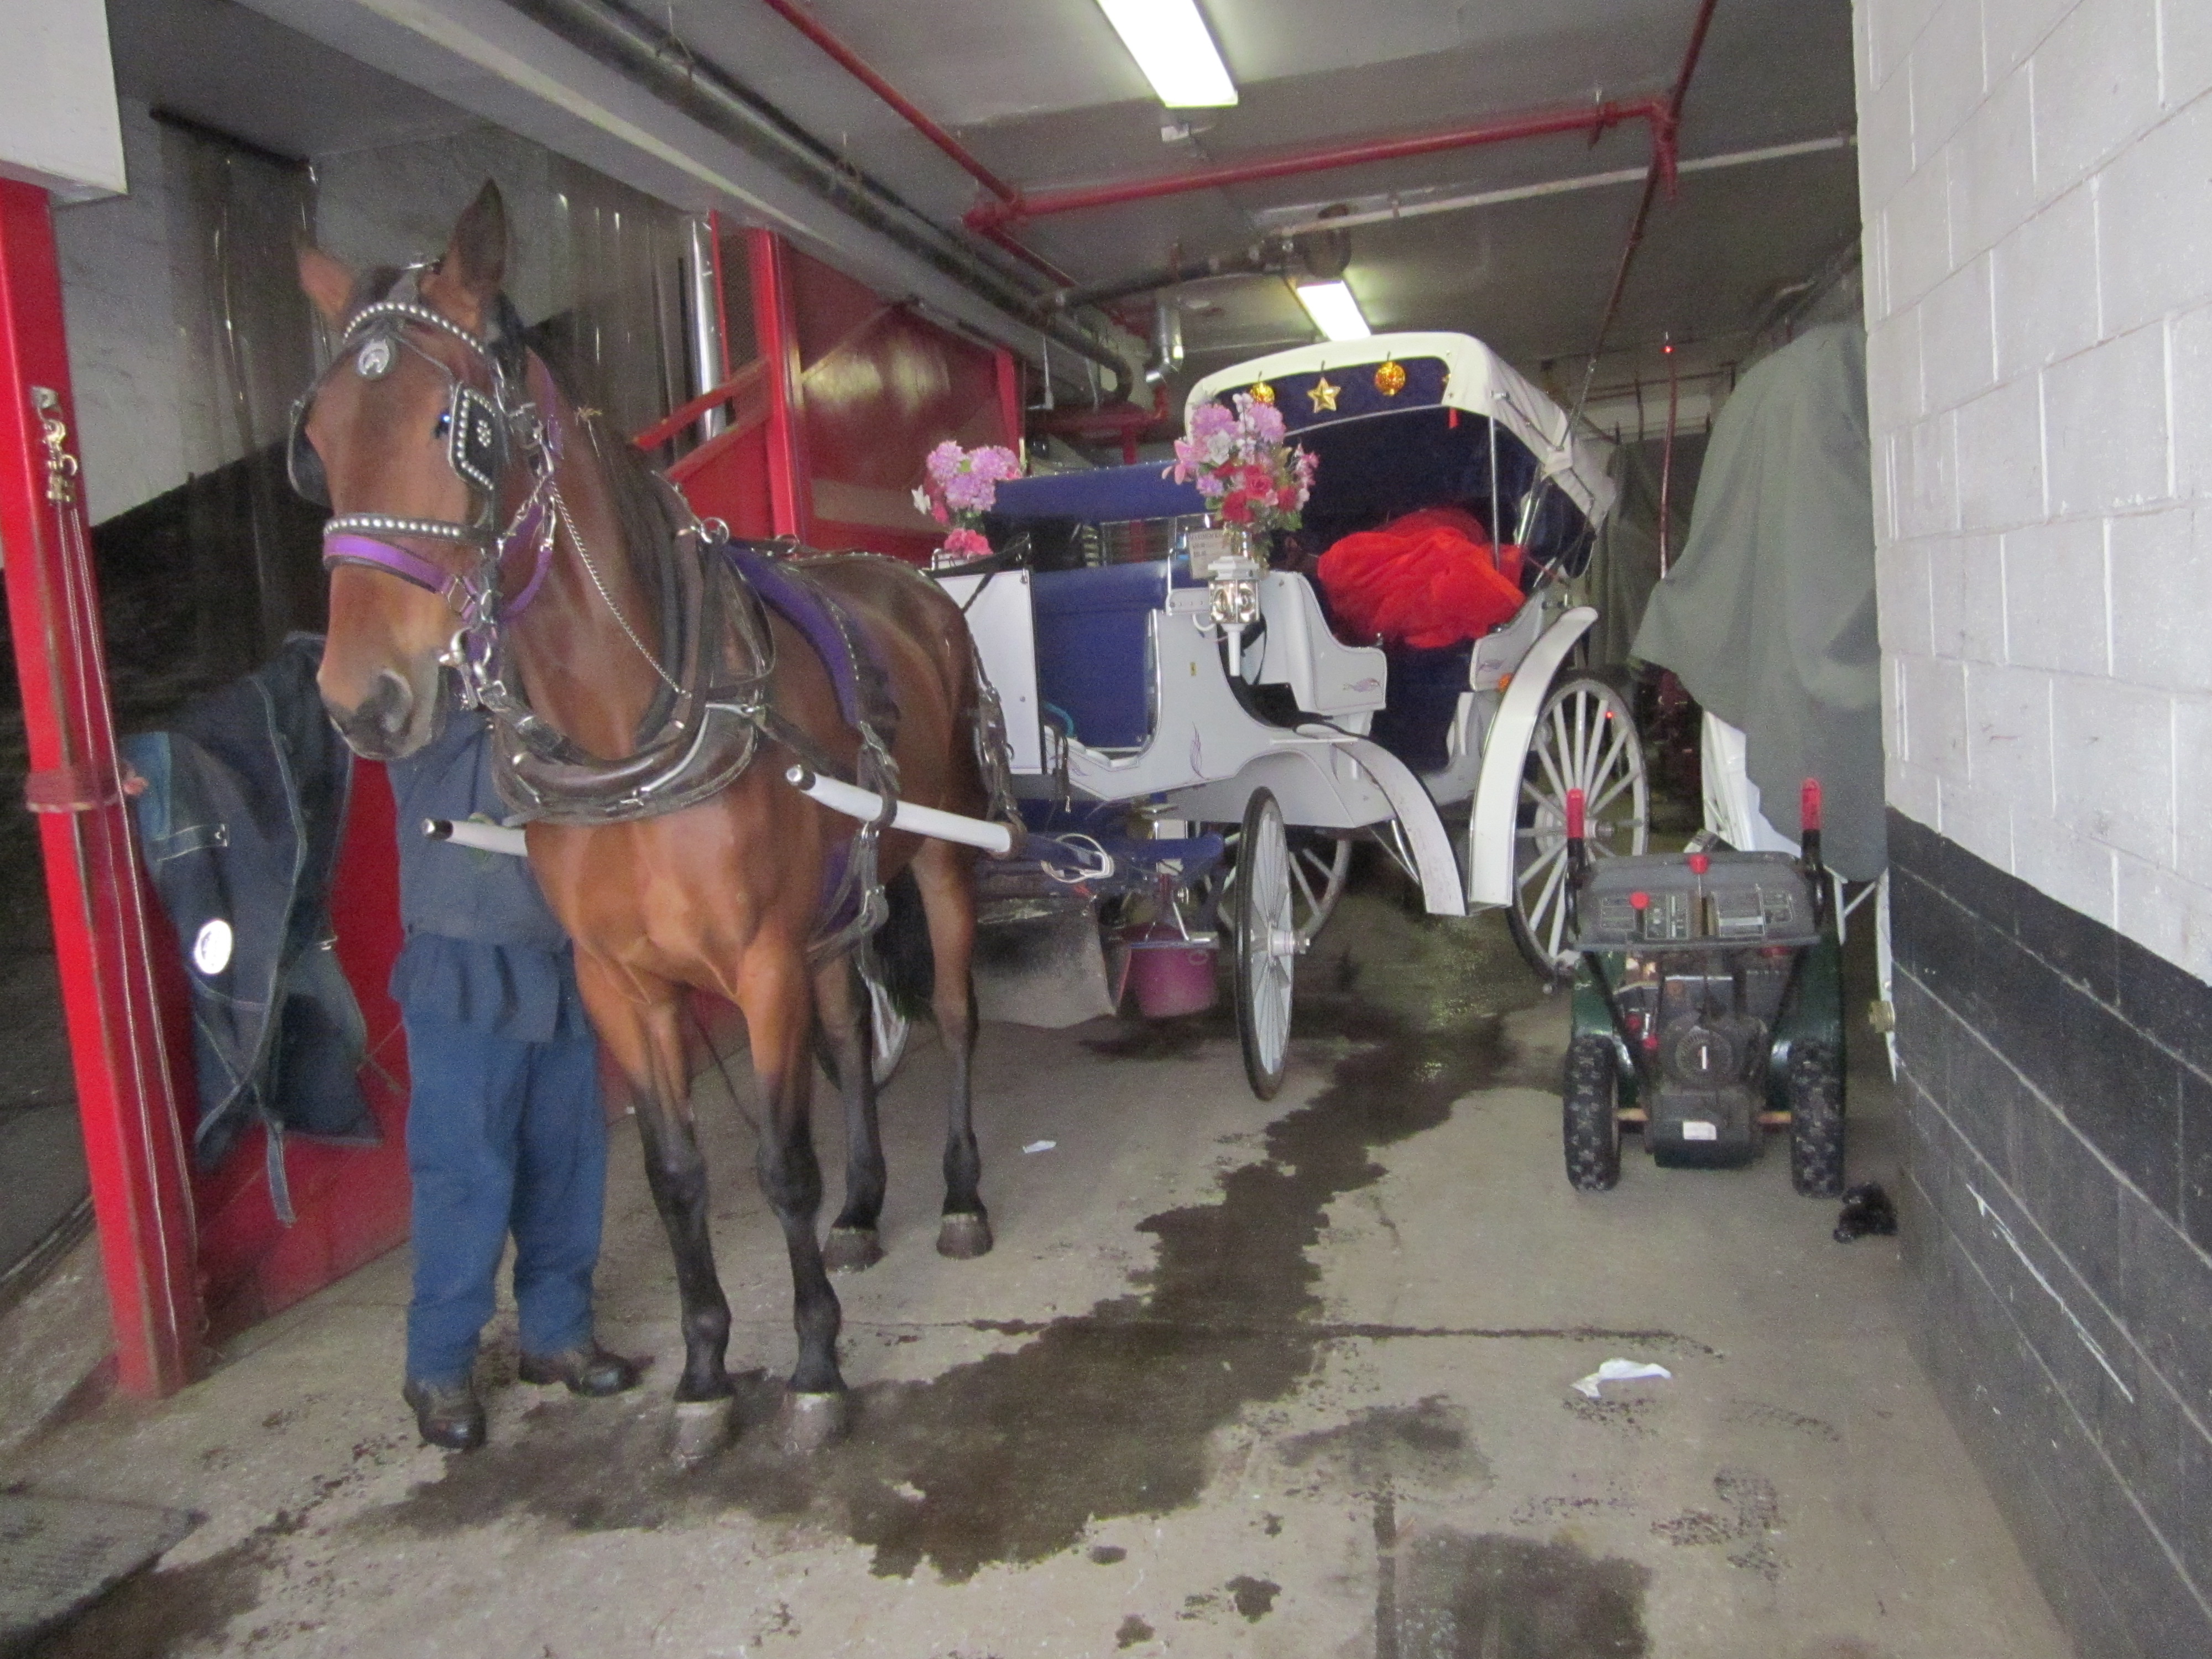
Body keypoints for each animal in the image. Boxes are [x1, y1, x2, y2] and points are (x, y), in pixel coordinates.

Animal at [301, 179, 1004, 1451]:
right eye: (319, 440)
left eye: (456, 430)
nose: (360, 700)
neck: (634, 732)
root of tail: (918, 587)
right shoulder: (621, 983)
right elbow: (675, 1174)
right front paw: (705, 1372)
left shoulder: (758, 963)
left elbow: (778, 1166)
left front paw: (815, 1364)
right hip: (834, 911)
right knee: (849, 1042)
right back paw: (865, 1209)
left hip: (937, 855)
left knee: (962, 1015)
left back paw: (961, 1194)